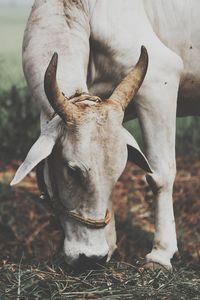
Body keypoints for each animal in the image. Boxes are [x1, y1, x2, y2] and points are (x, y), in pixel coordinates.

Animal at [11, 0, 200, 270]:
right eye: (73, 171)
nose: (90, 258)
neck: (86, 10)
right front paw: (108, 249)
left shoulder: (159, 82)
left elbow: (160, 175)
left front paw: (161, 254)